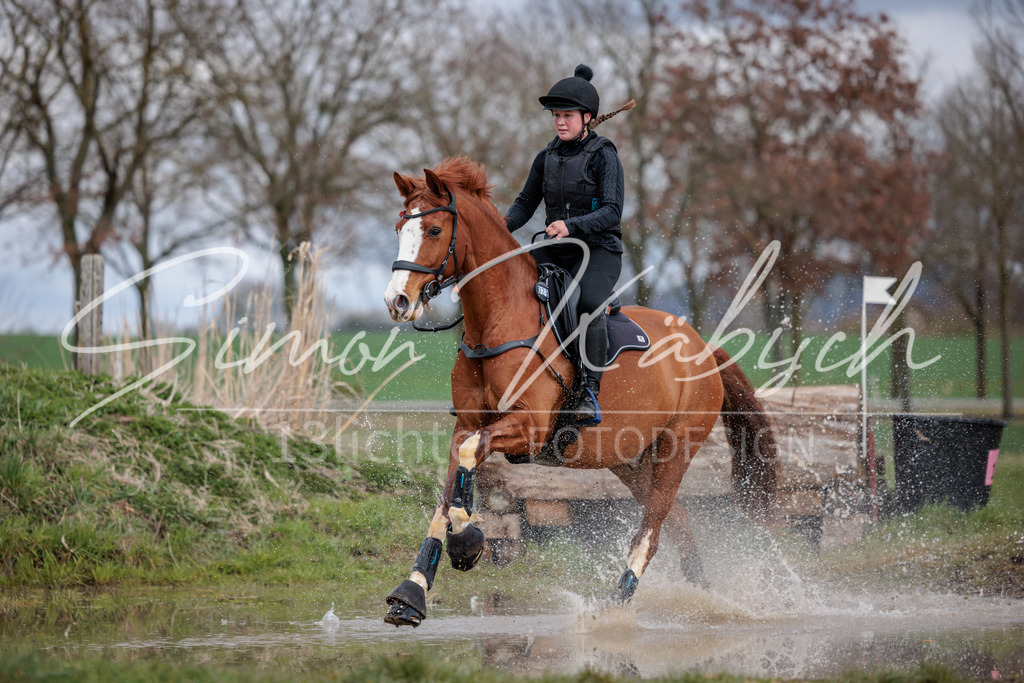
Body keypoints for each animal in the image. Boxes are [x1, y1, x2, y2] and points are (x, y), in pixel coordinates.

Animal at [381, 156, 778, 627]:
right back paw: (702, 597)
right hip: (629, 458)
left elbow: (465, 469)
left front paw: (467, 542)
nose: (397, 301)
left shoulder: (528, 427)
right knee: (677, 522)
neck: (497, 320)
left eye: (435, 231)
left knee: (652, 530)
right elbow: (447, 497)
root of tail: (704, 346)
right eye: (399, 227)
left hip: (675, 449)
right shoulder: (468, 425)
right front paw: (411, 593)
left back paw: (614, 606)